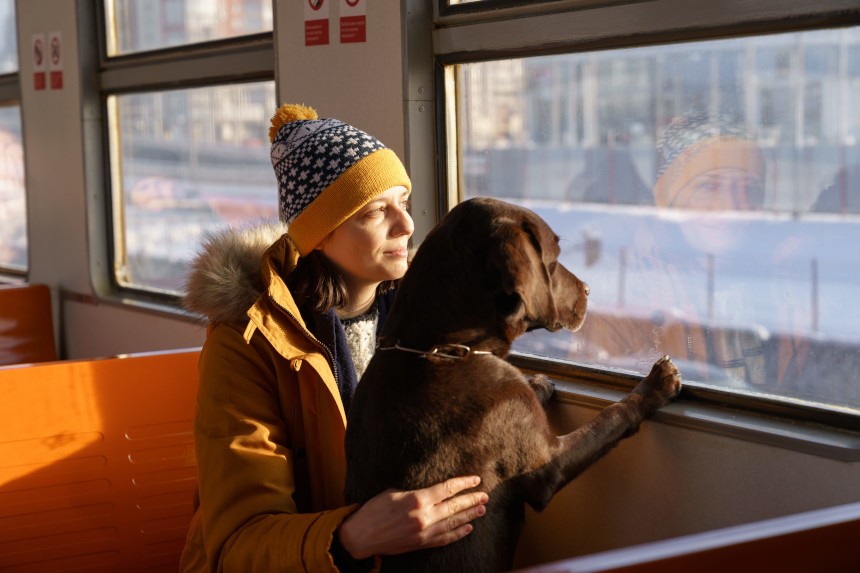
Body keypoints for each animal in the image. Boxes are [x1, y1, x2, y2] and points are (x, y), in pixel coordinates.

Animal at [342, 198, 680, 572]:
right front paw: (655, 385)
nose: (590, 290)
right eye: (554, 256)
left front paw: (539, 383)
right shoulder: (547, 462)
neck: (440, 348)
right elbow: (611, 418)